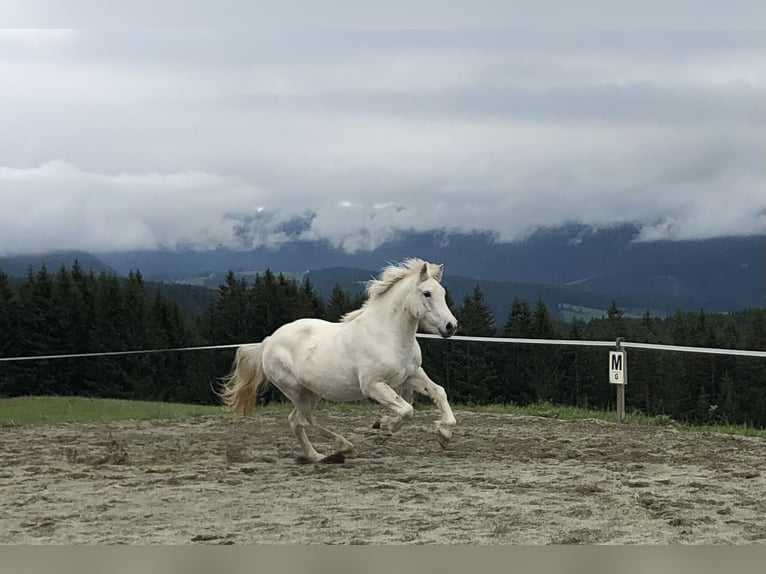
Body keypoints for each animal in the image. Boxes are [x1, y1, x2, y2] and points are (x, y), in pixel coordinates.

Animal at [219, 258, 460, 466]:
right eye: (427, 293)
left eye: (443, 293)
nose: (451, 326)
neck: (387, 336)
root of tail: (269, 341)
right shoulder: (373, 385)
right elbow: (407, 409)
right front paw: (385, 425)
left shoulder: (411, 375)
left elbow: (439, 392)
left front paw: (444, 434)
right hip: (296, 391)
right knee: (305, 420)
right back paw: (344, 447)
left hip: (312, 391)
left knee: (296, 421)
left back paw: (318, 456)